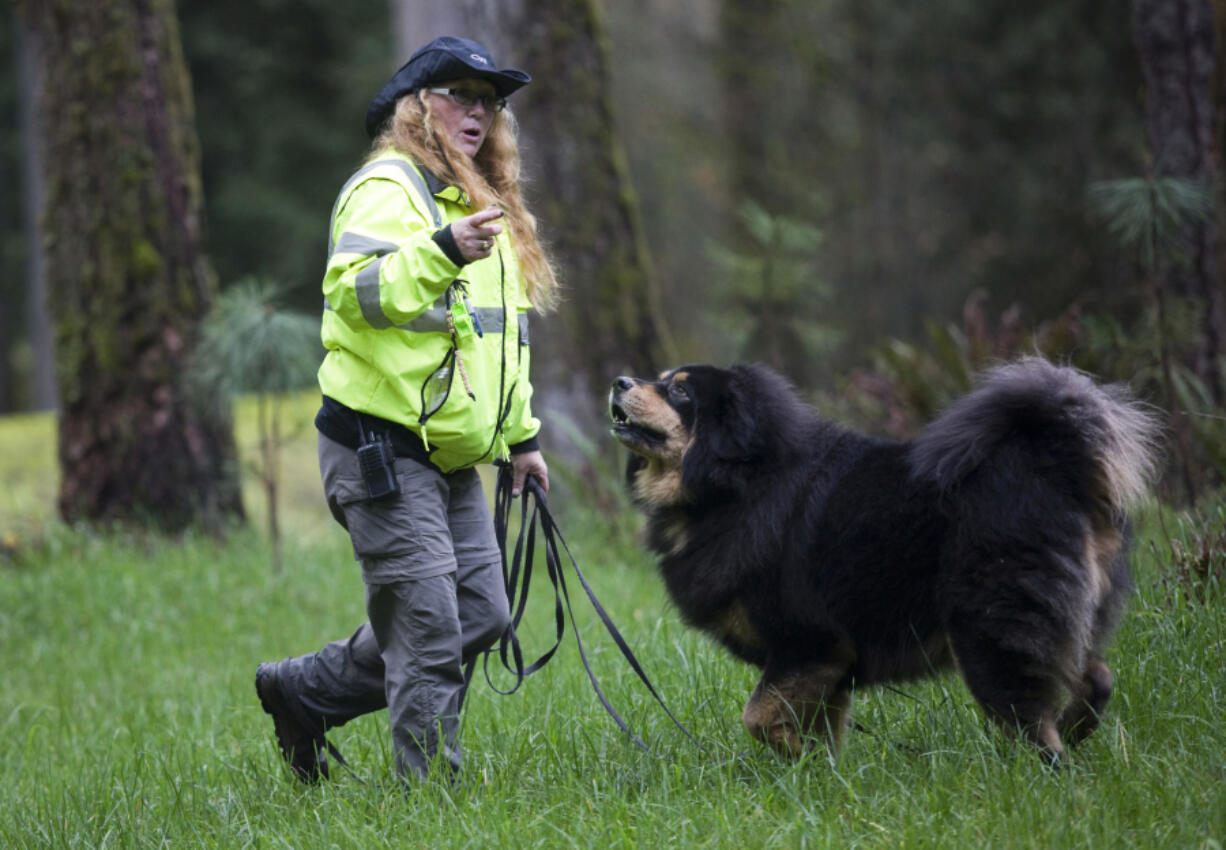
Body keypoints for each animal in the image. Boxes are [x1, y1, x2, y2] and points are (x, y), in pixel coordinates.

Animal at [613, 358, 1157, 760]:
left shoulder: (807, 642)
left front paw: (794, 756)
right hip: (1059, 623)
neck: (739, 484)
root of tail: (1056, 462)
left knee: (1036, 732)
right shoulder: (826, 665)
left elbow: (758, 717)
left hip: (990, 636)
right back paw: (1075, 730)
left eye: (680, 393)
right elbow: (819, 728)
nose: (619, 381)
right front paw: (817, 775)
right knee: (1095, 678)